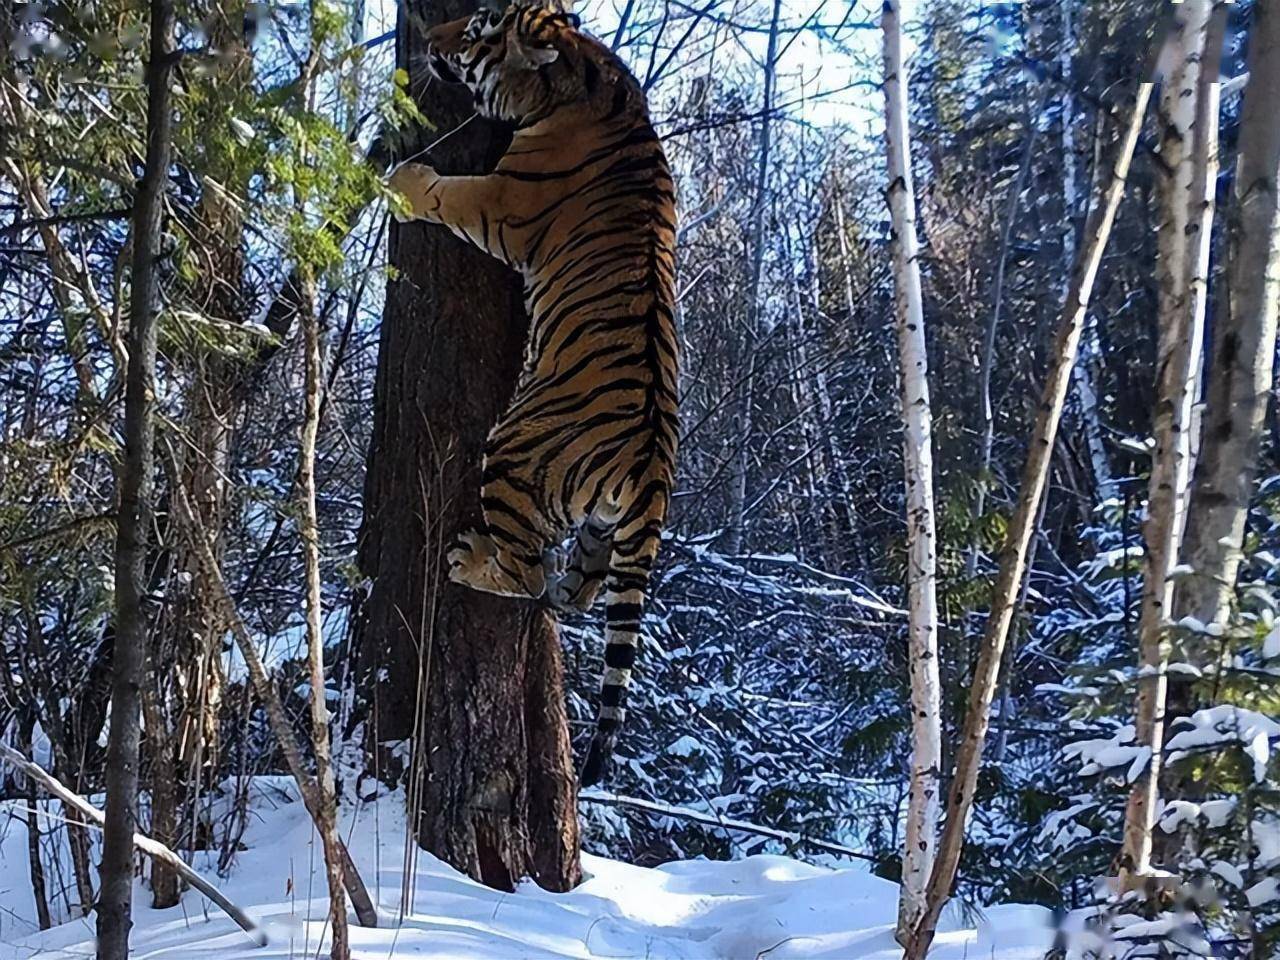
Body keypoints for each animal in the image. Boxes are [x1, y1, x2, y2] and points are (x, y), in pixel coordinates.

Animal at [384, 0, 680, 783]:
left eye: (475, 33)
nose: (429, 37)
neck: (586, 76)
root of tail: (650, 470)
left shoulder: (500, 201)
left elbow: (446, 192)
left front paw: (406, 177)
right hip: (603, 522)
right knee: (584, 586)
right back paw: (563, 588)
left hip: (515, 448)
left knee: (520, 569)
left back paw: (470, 561)